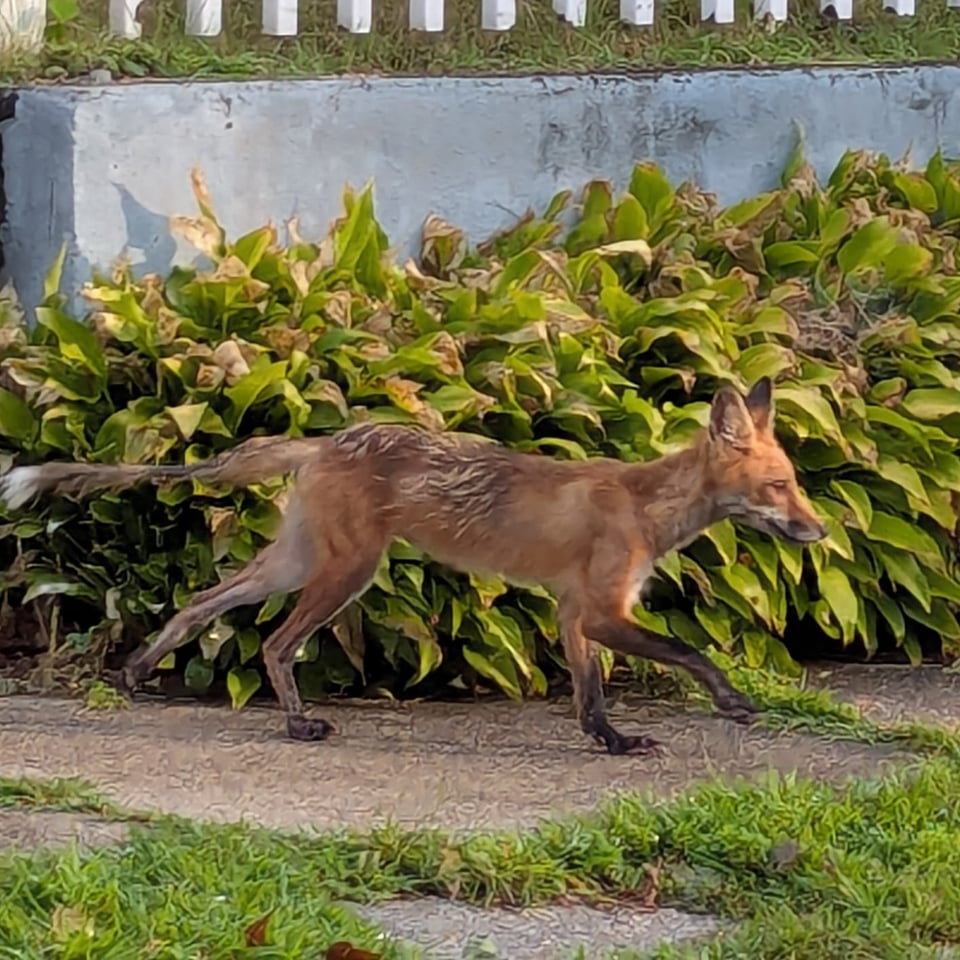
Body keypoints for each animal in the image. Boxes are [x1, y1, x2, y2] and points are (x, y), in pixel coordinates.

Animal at [0, 376, 826, 755]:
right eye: (780, 485)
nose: (818, 531)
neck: (645, 503)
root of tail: (328, 439)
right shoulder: (600, 609)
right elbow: (691, 651)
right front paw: (732, 702)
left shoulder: (574, 613)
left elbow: (590, 696)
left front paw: (614, 743)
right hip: (345, 574)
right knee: (275, 643)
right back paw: (296, 723)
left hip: (295, 564)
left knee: (202, 603)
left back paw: (140, 670)